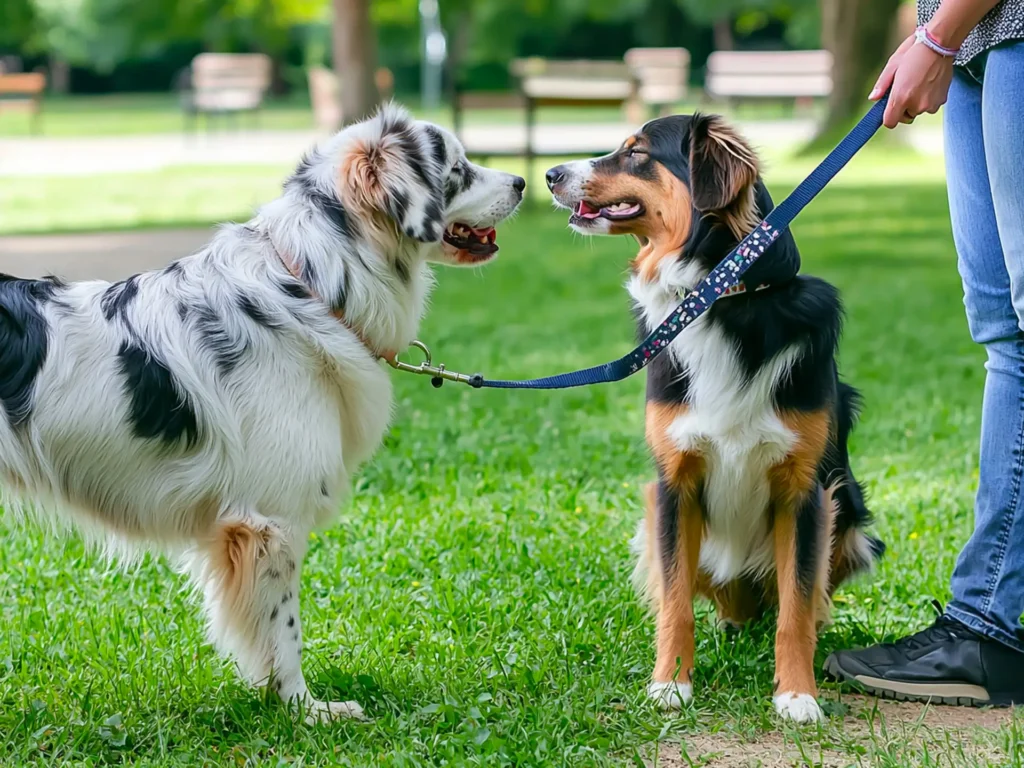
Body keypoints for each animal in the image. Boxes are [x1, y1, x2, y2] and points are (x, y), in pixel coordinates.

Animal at [0, 105, 524, 724]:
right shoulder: (268, 522)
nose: (523, 182)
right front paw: (305, 710)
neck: (312, 285)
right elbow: (284, 630)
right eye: (459, 169)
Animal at [548, 117, 884, 724]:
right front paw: (671, 684)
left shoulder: (806, 490)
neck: (720, 298)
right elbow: (676, 600)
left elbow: (796, 606)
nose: (549, 174)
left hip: (847, 517)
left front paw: (797, 695)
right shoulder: (674, 483)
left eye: (636, 153)